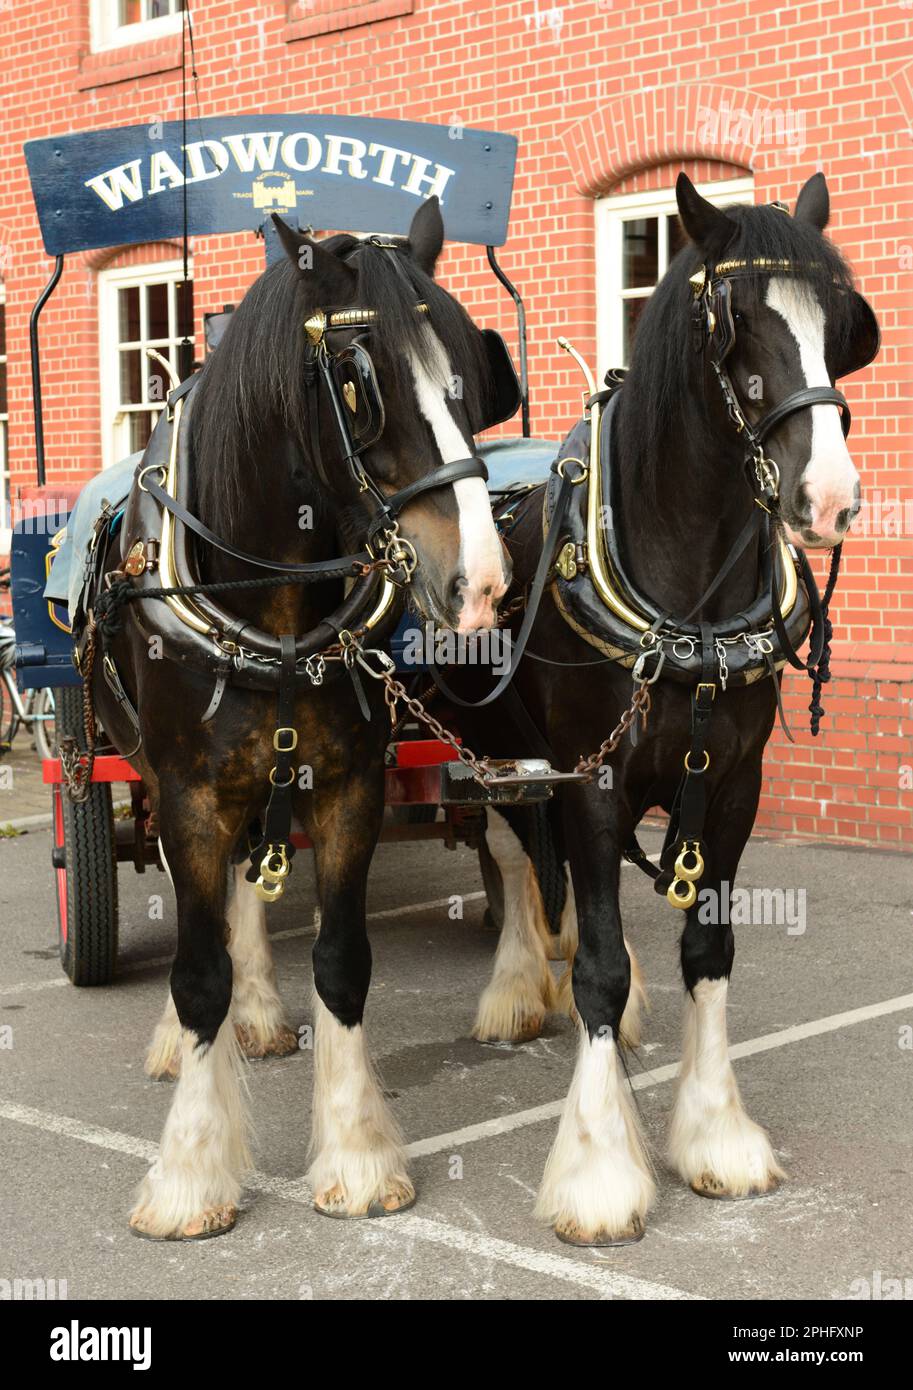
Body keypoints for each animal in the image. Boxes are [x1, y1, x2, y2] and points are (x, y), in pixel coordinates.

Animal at [89, 197, 510, 1239]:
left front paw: (357, 1158)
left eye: (472, 373)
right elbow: (195, 969)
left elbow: (342, 962)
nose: (480, 583)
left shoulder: (348, 785)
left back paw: (256, 1014)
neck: (272, 609)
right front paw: (191, 1173)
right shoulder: (188, 792)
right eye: (359, 384)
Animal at [445, 171, 880, 1245]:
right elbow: (599, 962)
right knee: (509, 852)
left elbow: (706, 947)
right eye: (733, 325)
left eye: (842, 326)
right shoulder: (594, 778)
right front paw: (599, 1167)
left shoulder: (731, 783)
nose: (833, 499)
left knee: (532, 863)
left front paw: (716, 1134)